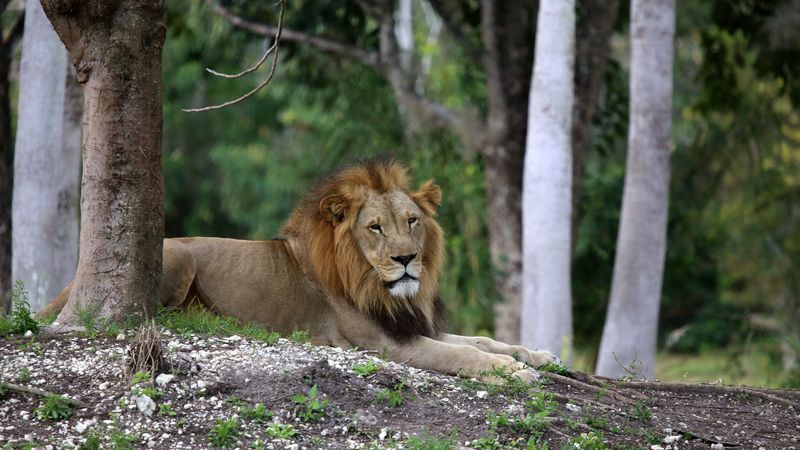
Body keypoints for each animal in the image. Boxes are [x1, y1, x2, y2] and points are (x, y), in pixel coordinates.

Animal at [40, 161, 557, 381]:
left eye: (412, 221)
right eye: (375, 227)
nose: (408, 258)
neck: (380, 286)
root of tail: (72, 281)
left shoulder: (410, 325)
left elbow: (481, 340)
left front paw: (536, 356)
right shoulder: (387, 343)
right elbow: (461, 355)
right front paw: (513, 372)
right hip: (179, 256)